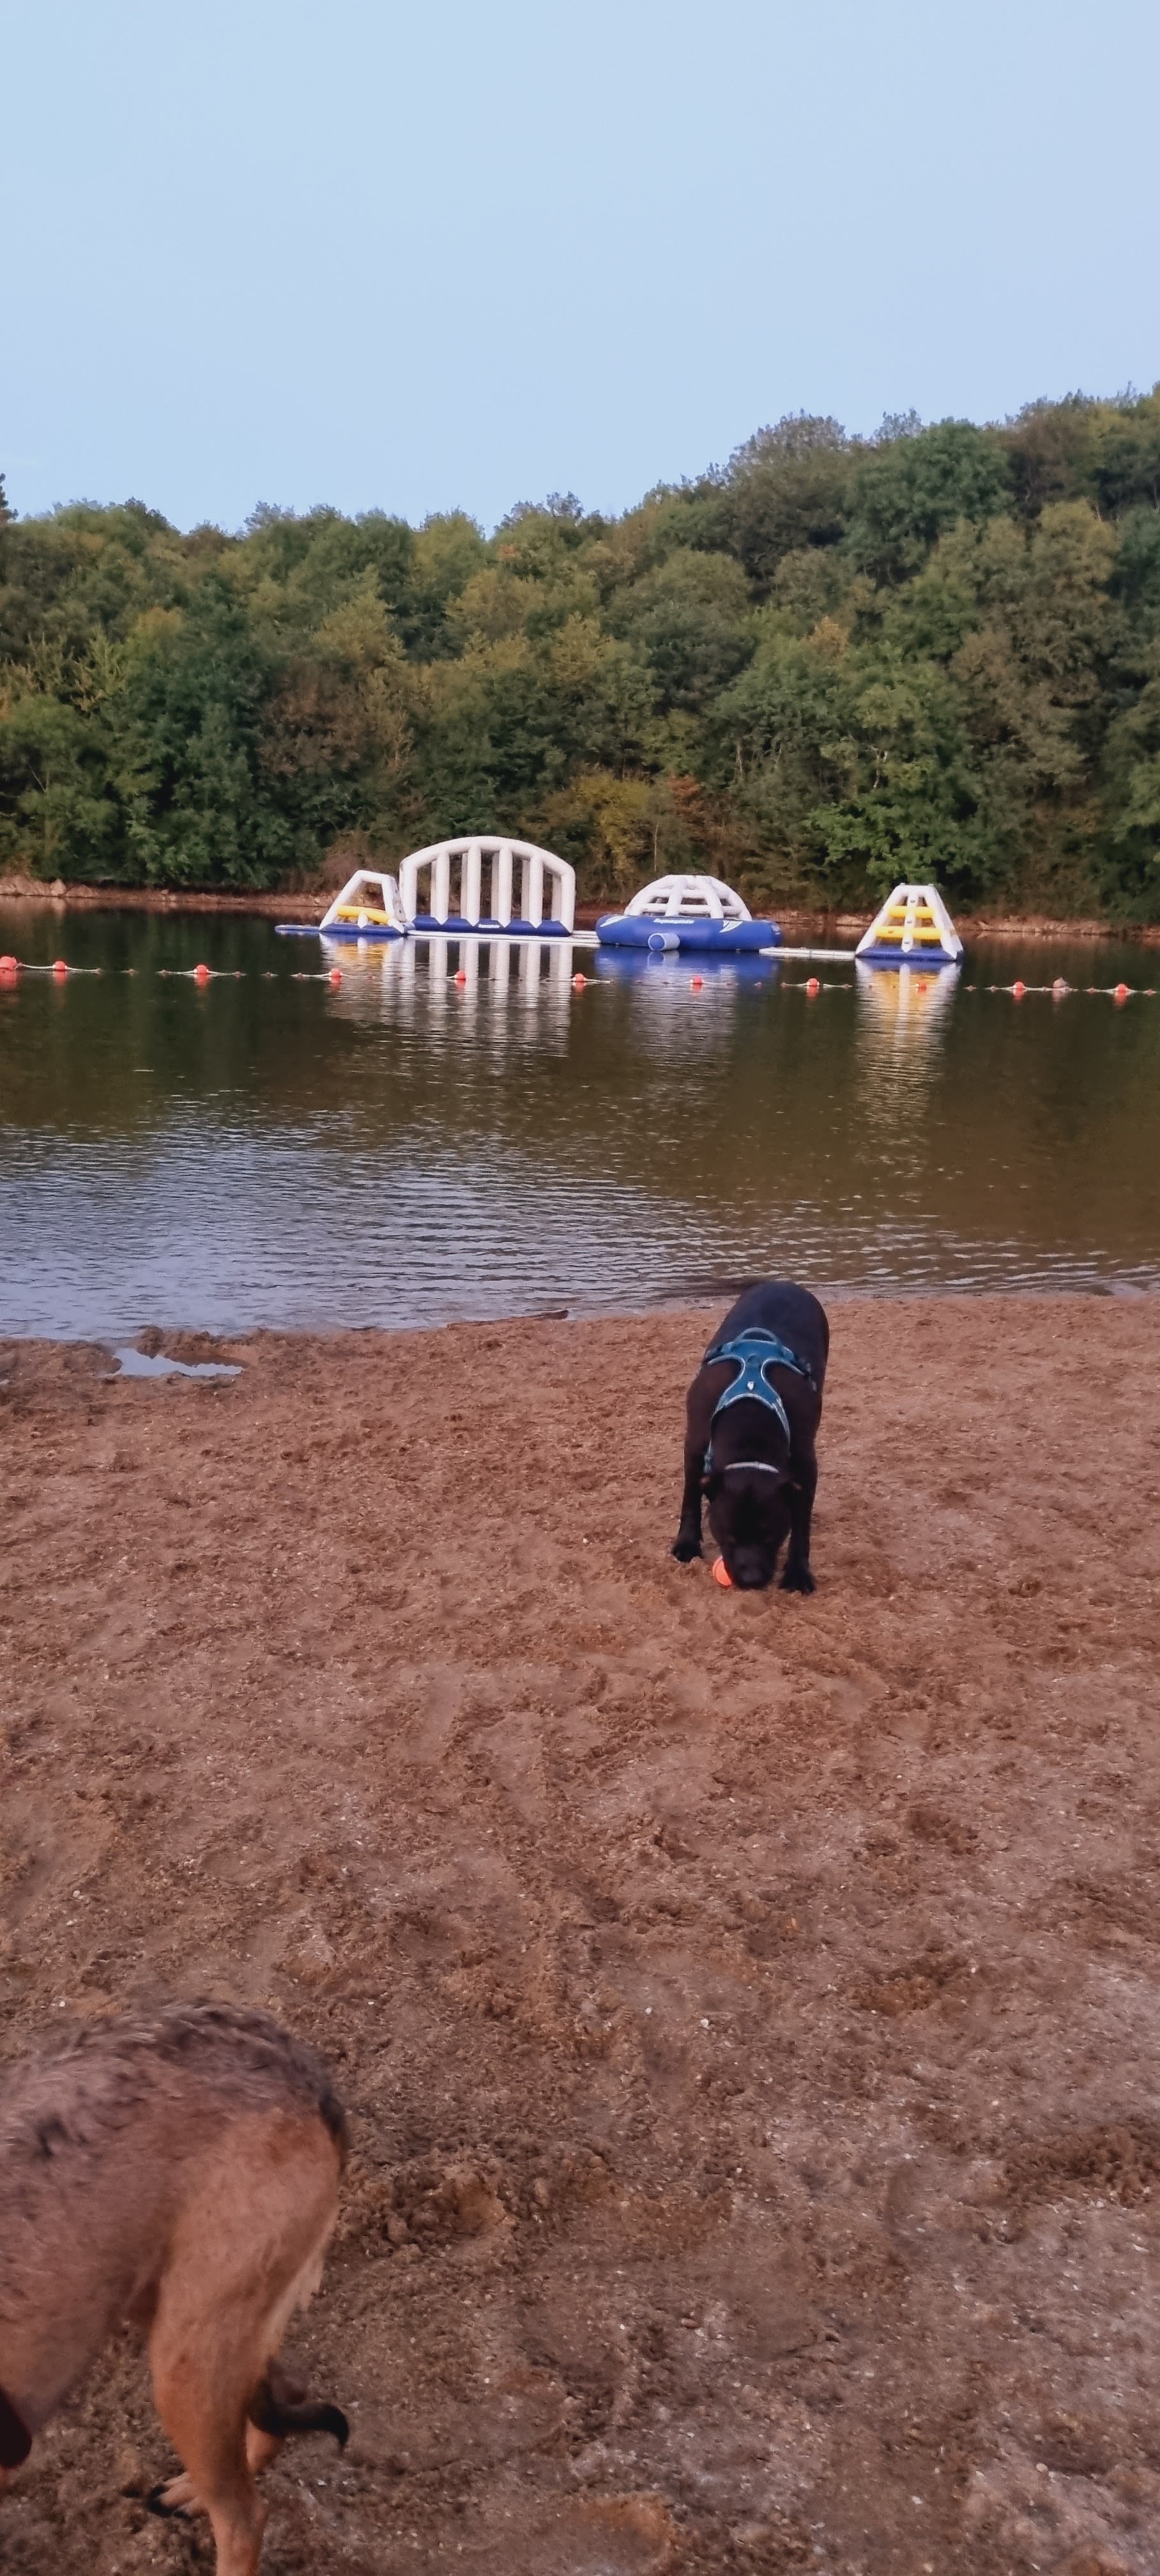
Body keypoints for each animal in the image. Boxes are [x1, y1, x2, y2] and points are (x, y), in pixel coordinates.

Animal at [0, 2001, 349, 2576]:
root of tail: (303, 2074)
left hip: (183, 2362)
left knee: (245, 2517)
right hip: (168, 2307)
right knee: (284, 2391)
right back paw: (197, 2489)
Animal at [672, 1280, 829, 1591]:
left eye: (771, 1535)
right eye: (728, 1535)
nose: (752, 1580)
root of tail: (783, 1282)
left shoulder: (805, 1463)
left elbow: (801, 1521)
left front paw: (798, 1571)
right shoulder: (694, 1444)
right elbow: (691, 1495)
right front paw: (687, 1542)